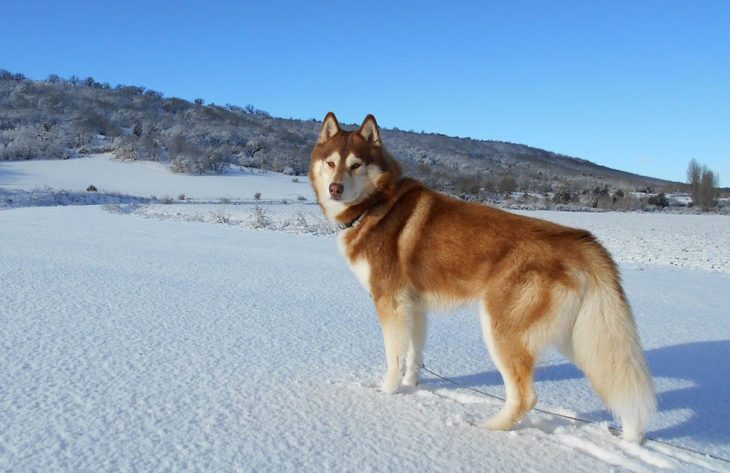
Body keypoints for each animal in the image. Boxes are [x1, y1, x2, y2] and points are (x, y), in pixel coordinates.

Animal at [308, 111, 656, 442]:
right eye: (331, 163)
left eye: (355, 165)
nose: (335, 188)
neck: (376, 204)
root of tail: (580, 241)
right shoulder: (414, 307)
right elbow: (413, 355)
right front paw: (412, 386)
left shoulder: (389, 303)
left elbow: (394, 358)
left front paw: (386, 394)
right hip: (580, 338)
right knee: (617, 380)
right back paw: (632, 436)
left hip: (501, 330)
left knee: (525, 397)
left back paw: (487, 429)